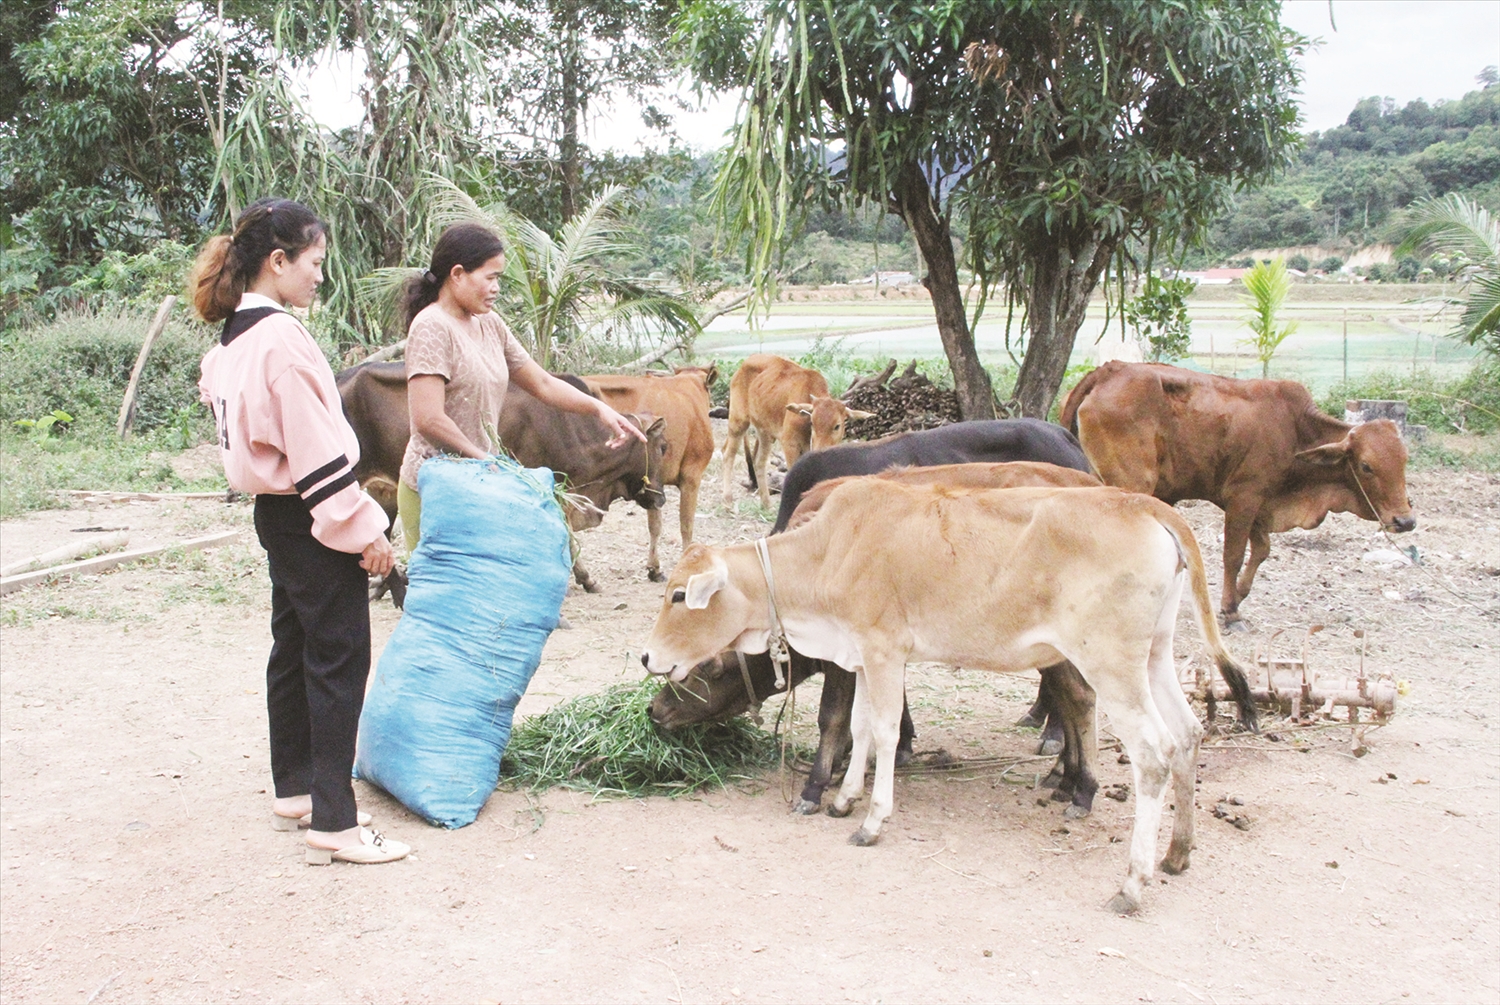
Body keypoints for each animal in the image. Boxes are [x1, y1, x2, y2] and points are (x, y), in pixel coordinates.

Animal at [639, 483, 1260, 918]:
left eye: (679, 595)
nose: (647, 659)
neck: (830, 550)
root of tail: (1145, 505)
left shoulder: (884, 649)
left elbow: (884, 730)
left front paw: (872, 820)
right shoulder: (862, 655)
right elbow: (859, 728)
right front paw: (843, 799)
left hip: (1112, 664)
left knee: (1153, 754)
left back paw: (1132, 883)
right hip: (1155, 655)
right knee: (1187, 735)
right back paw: (1177, 854)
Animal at [720, 354, 876, 513]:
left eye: (837, 426)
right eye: (812, 422)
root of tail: (744, 363)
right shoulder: (789, 443)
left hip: (764, 431)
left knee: (759, 462)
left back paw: (766, 504)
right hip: (738, 420)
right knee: (728, 453)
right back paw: (727, 500)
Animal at [1062, 366, 1410, 627]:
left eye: (1404, 460)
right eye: (1366, 466)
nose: (1405, 520)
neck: (1295, 431)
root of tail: (1109, 370)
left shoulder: (1260, 501)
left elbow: (1262, 549)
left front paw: (1240, 595)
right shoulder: (1244, 496)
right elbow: (1234, 554)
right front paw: (1230, 611)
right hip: (1132, 484)